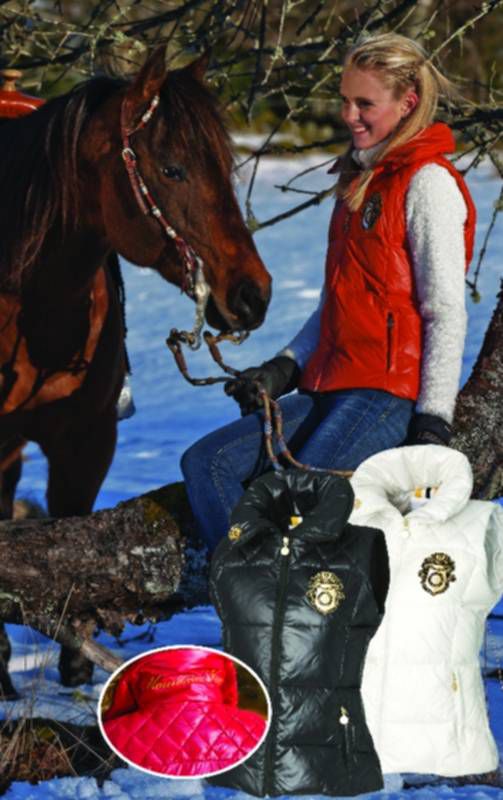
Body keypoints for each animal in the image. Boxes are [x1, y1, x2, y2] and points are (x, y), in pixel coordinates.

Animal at [0, 47, 271, 698]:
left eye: (225, 167)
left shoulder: (88, 440)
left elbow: (69, 545)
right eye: (171, 169)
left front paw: (77, 663)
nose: (253, 294)